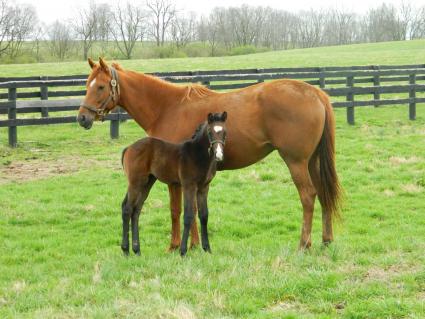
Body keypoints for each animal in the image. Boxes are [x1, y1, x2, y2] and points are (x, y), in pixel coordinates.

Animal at [121, 112, 227, 258]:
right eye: (210, 132)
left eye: (225, 132)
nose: (219, 155)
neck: (197, 154)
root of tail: (128, 148)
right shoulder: (189, 186)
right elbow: (188, 215)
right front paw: (183, 251)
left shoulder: (204, 187)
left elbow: (204, 215)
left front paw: (207, 249)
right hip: (135, 183)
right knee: (127, 209)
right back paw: (126, 250)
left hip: (147, 183)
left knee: (136, 210)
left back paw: (137, 250)